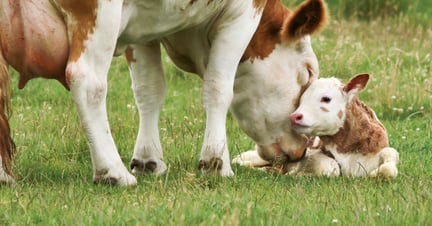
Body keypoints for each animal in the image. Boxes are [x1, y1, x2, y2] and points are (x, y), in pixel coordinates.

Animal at [0, 0, 328, 185]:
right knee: (88, 82)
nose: (303, 149)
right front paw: (216, 163)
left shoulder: (142, 30)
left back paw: (4, 176)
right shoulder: (242, 15)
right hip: (99, 15)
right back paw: (113, 172)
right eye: (309, 71)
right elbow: (219, 86)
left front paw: (148, 159)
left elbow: (149, 89)